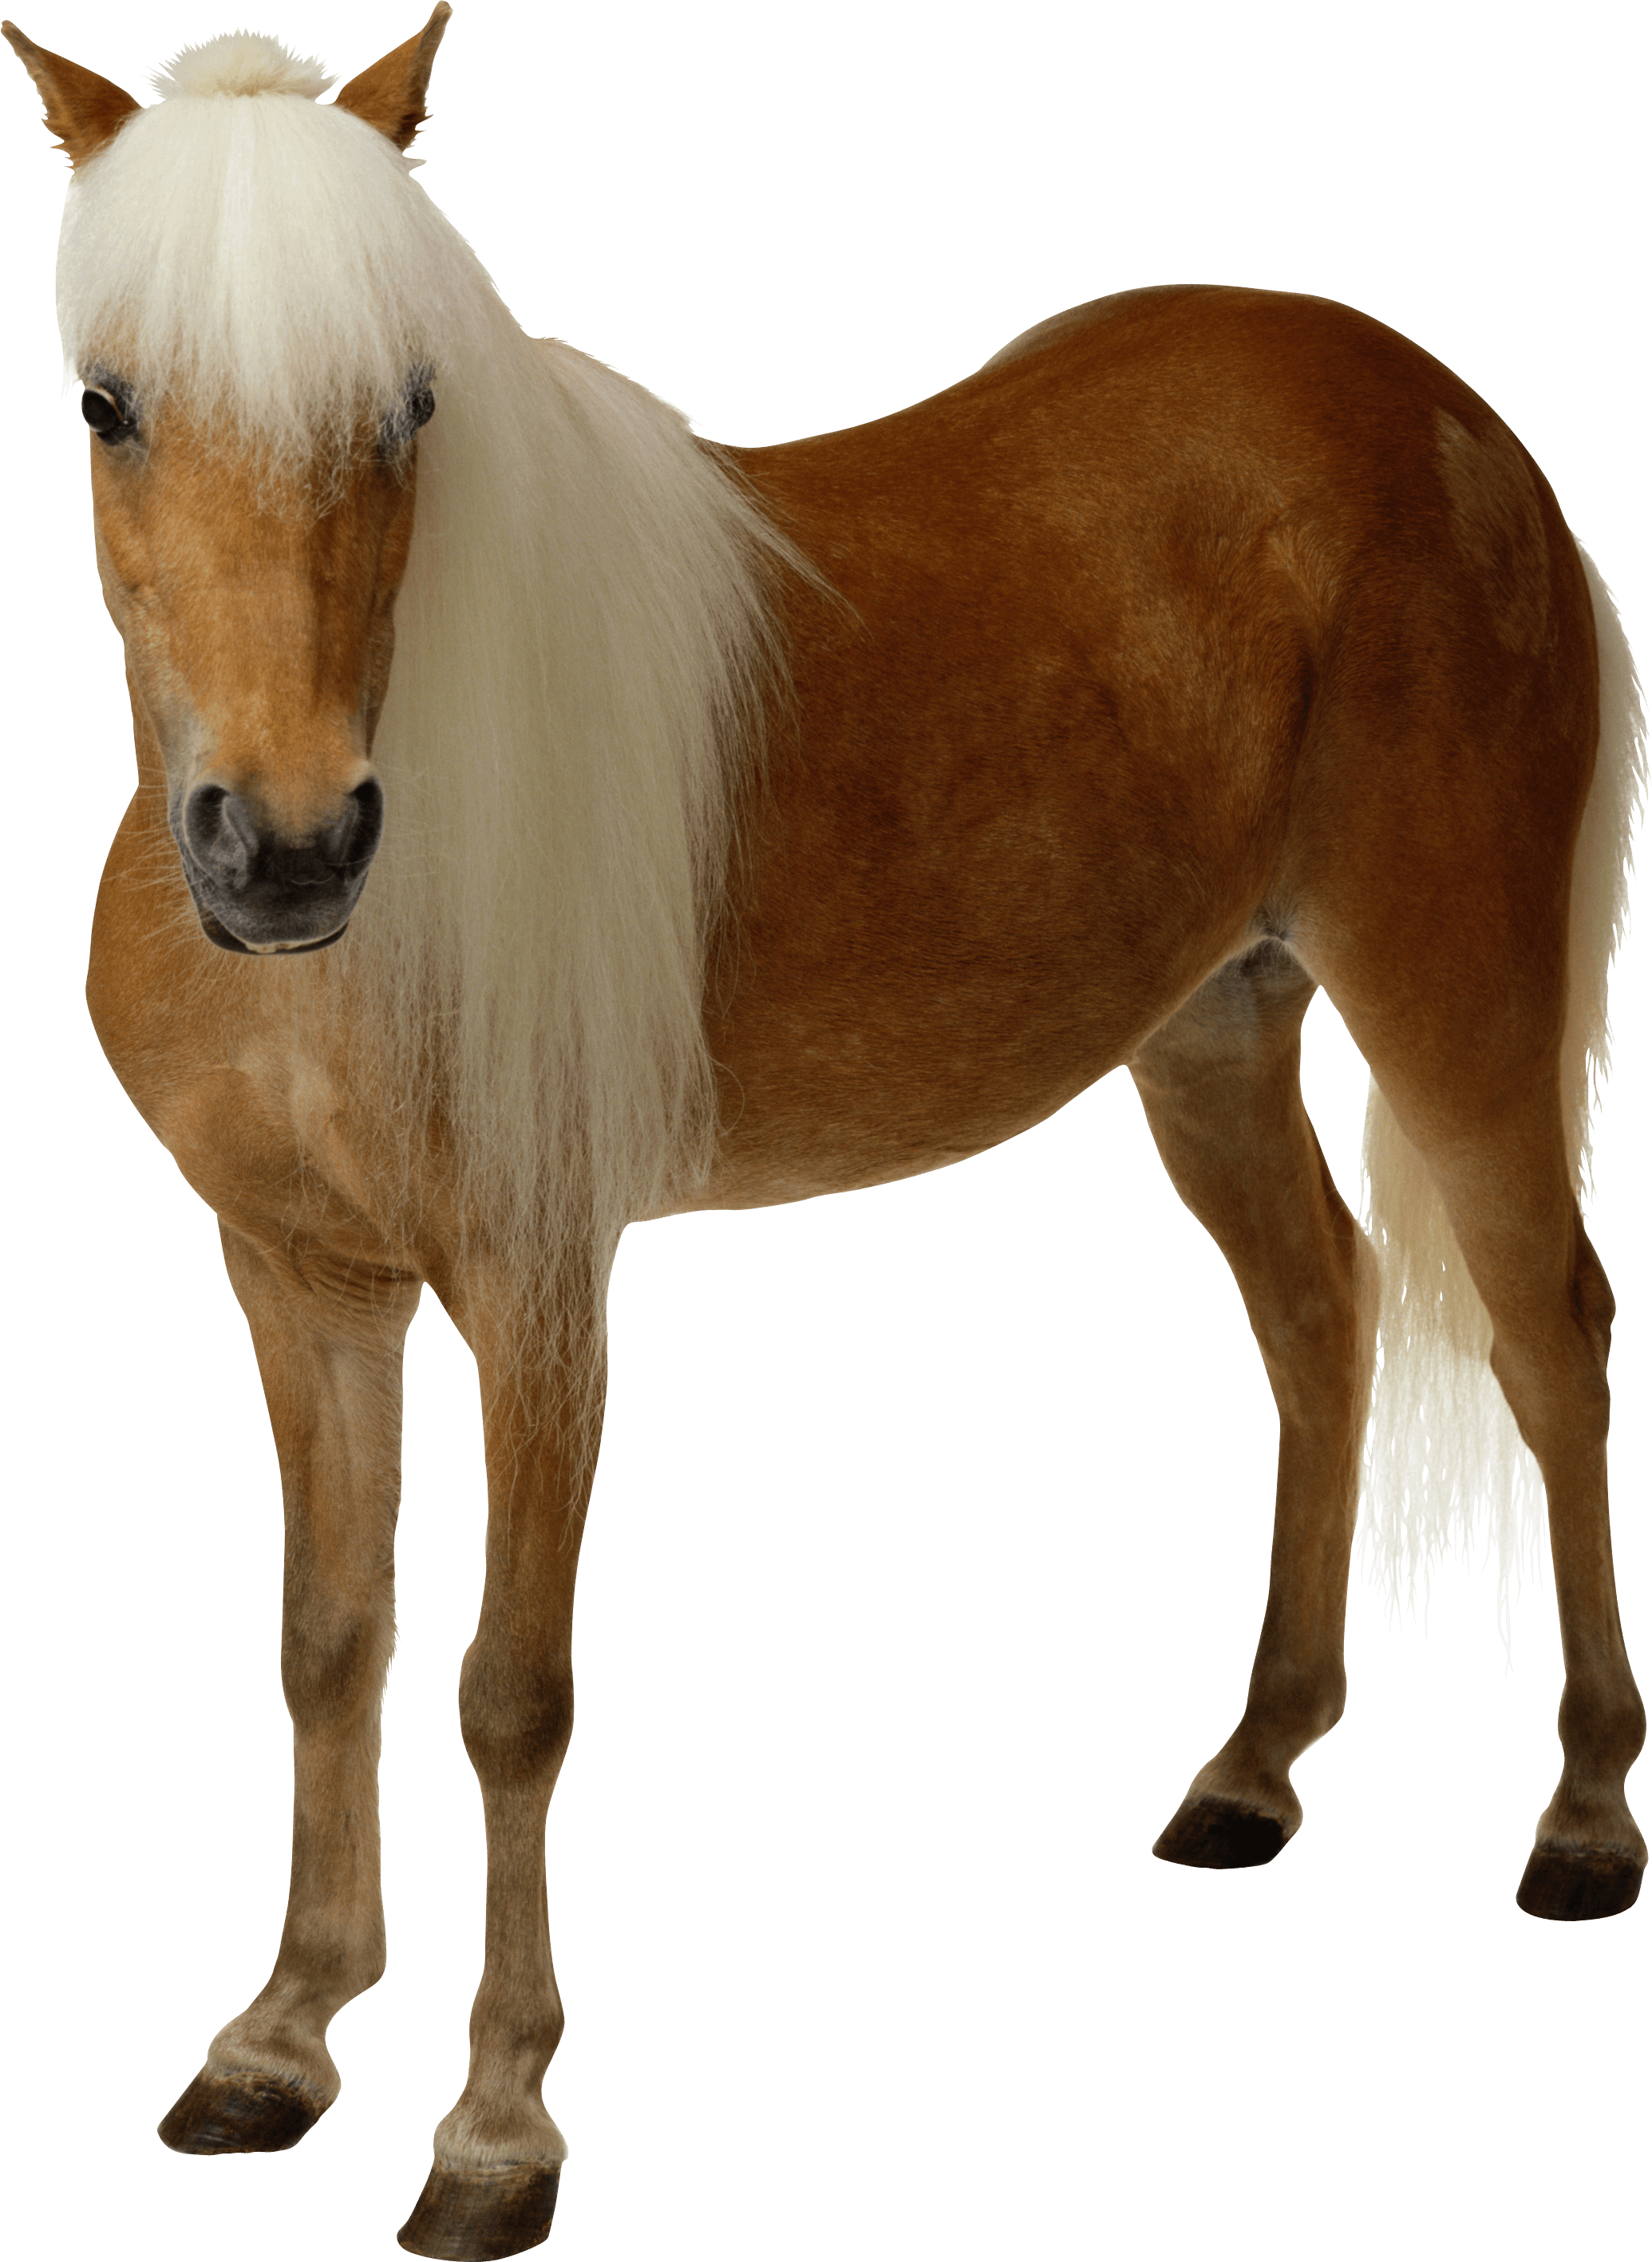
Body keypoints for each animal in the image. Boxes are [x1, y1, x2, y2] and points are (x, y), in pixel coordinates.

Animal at [7, 8, 1646, 2256]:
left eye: (411, 404)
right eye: (107, 405)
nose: (285, 848)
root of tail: (1460, 424)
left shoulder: (538, 1288)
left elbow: (510, 1688)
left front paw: (493, 2132)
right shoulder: (301, 1279)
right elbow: (330, 1640)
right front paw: (274, 2043)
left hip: (1453, 1004)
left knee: (1553, 1334)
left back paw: (1585, 1814)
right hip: (1209, 1027)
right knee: (1318, 1312)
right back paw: (1250, 1771)